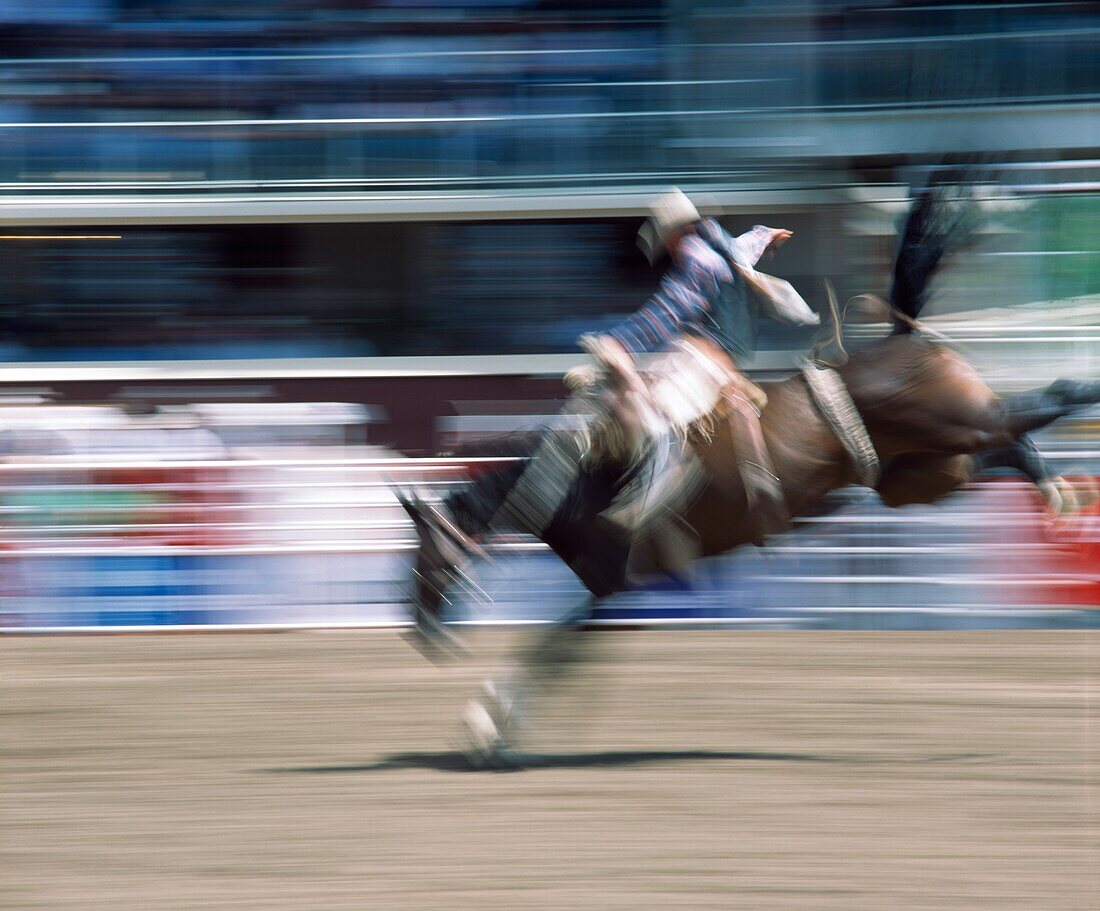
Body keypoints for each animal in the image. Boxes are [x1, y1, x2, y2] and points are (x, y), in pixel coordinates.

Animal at [400, 187, 1100, 770]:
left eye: (420, 555)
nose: (419, 635)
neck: (579, 480)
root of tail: (903, 336)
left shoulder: (621, 588)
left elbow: (552, 654)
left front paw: (488, 732)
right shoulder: (618, 594)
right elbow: (558, 657)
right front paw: (492, 732)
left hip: (957, 425)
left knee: (1048, 399)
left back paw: (1073, 426)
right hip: (924, 473)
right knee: (1006, 447)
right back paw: (1054, 489)